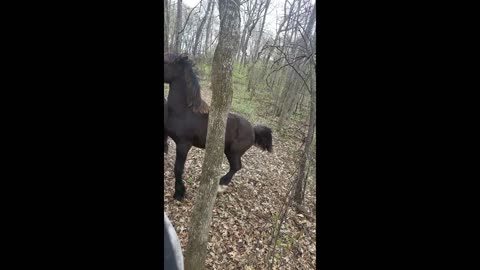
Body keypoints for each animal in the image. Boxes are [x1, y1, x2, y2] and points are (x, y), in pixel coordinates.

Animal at [163, 52, 272, 200]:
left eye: (166, 61)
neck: (183, 111)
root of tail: (253, 130)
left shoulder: (184, 145)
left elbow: (178, 169)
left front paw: (179, 193)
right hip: (227, 150)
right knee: (235, 167)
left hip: (234, 151)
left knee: (237, 166)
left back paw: (221, 184)